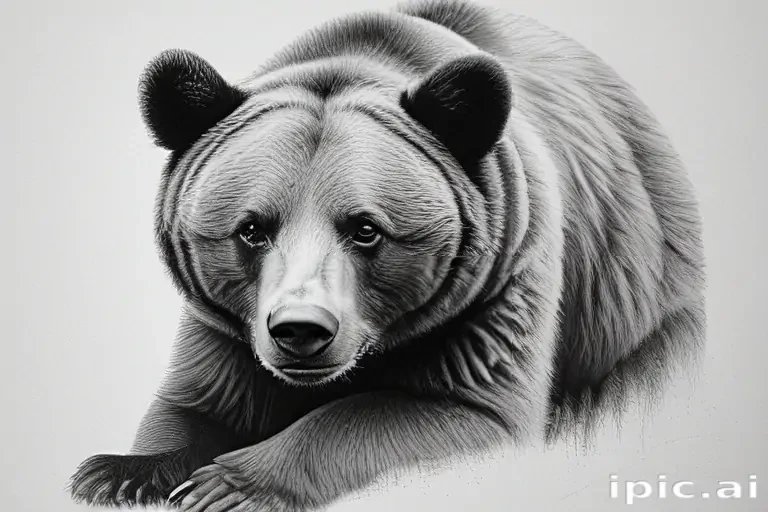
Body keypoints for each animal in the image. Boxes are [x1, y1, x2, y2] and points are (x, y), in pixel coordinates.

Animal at [69, 0, 706, 510]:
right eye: (250, 229)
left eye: (366, 229)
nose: (300, 330)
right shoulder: (225, 324)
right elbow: (196, 402)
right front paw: (117, 473)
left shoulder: (498, 288)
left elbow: (454, 414)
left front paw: (227, 485)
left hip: (634, 301)